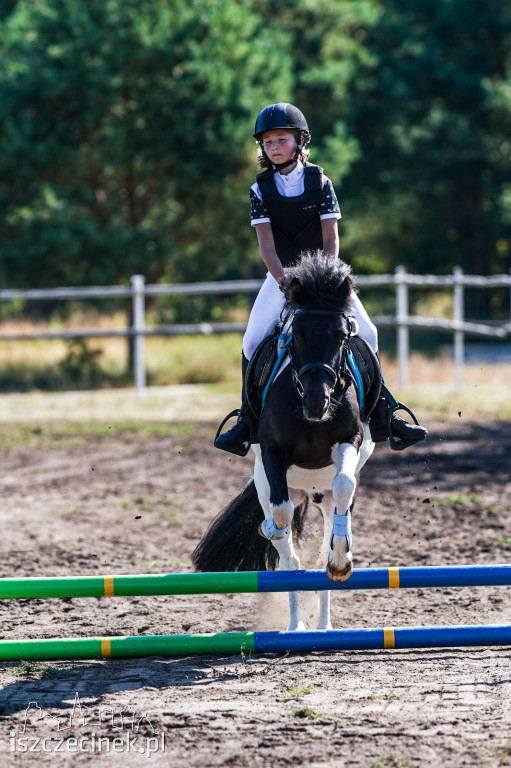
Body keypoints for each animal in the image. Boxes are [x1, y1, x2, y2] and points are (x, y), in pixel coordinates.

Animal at [193, 252, 376, 632]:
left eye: (342, 336)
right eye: (298, 334)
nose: (317, 403)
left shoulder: (349, 441)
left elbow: (344, 484)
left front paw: (341, 563)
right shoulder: (273, 454)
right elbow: (280, 518)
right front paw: (273, 531)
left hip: (322, 494)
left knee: (325, 536)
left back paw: (324, 626)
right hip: (267, 480)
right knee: (286, 550)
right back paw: (295, 627)